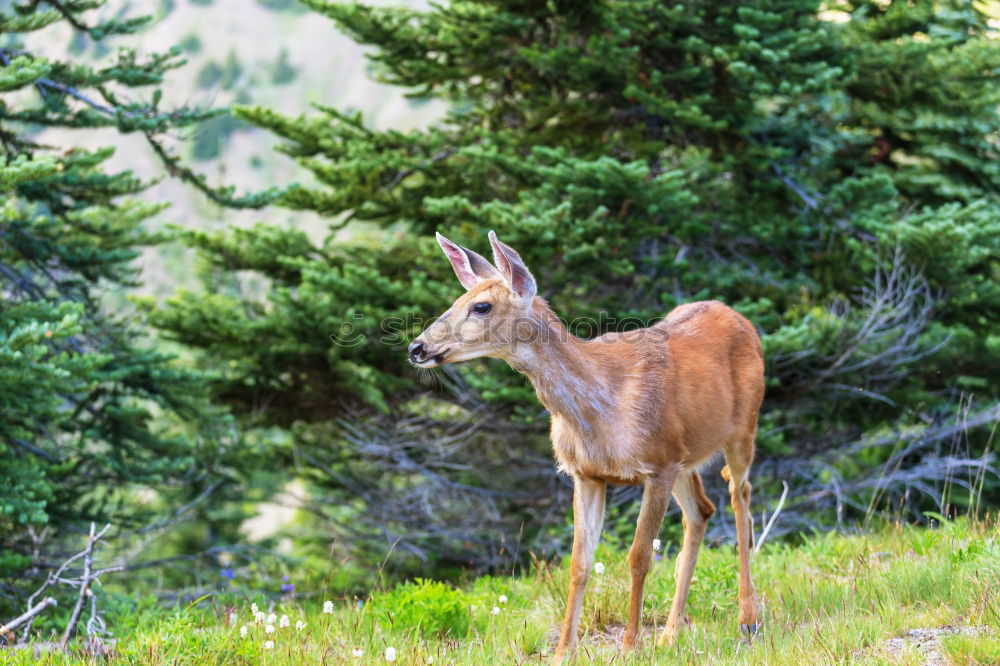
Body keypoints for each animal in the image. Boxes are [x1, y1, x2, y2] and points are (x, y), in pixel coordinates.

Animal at [406, 230, 764, 660]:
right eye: (455, 300)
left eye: (481, 306)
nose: (416, 348)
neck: (598, 411)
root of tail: (740, 317)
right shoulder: (588, 473)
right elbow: (579, 563)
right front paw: (564, 651)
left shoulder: (657, 466)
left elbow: (639, 556)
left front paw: (629, 647)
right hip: (685, 454)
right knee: (702, 511)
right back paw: (670, 634)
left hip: (742, 427)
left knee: (740, 498)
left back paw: (748, 618)